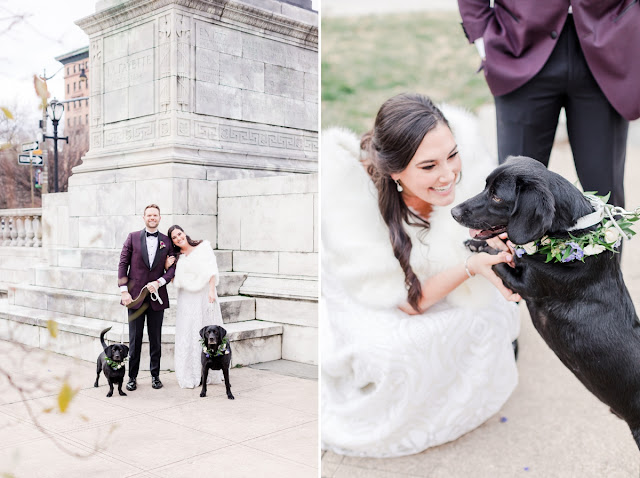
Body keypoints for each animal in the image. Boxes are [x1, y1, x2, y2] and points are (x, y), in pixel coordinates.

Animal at [452, 156, 640, 448]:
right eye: (485, 187)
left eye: (496, 196)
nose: (453, 211)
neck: (569, 235)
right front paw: (474, 243)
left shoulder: (525, 285)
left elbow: (503, 256)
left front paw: (484, 250)